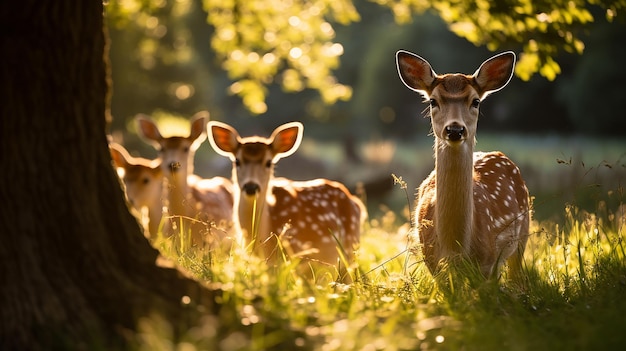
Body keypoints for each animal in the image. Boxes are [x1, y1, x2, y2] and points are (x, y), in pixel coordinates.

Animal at [207, 121, 364, 278]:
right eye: (237, 161)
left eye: (269, 162)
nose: (251, 186)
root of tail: (356, 203)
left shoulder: (295, 253)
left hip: (349, 249)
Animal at [394, 50, 528, 280]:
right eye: (433, 101)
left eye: (476, 101)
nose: (455, 129)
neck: (455, 247)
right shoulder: (434, 265)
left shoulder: (487, 263)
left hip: (523, 235)